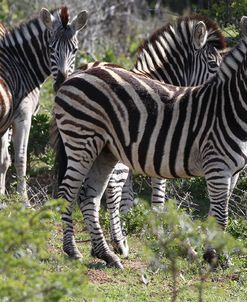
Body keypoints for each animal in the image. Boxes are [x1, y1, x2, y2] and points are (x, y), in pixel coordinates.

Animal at [0, 6, 88, 205]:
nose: (61, 82)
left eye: (75, 50)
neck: (19, 62)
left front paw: (1, 198)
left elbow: (3, 160)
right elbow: (20, 159)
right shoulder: (23, 116)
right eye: (50, 48)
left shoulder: (7, 122)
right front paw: (24, 202)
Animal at [53, 14, 247, 268]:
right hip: (82, 141)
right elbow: (206, 211)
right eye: (213, 64)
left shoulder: (229, 172)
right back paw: (75, 249)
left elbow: (217, 213)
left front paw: (215, 255)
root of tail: (76, 75)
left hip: (103, 149)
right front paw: (208, 255)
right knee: (72, 192)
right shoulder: (205, 164)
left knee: (92, 195)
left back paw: (107, 251)